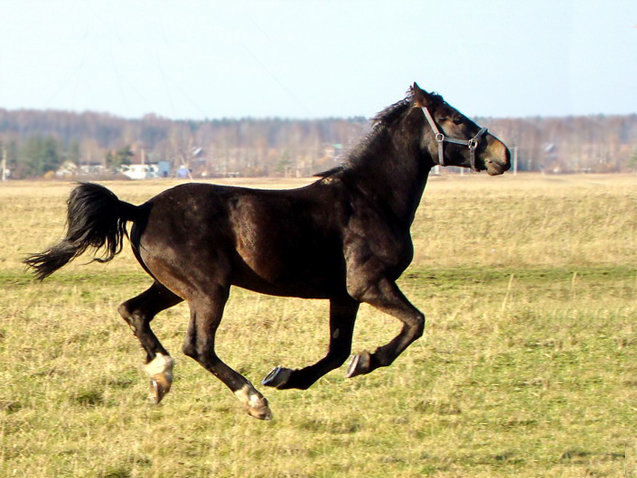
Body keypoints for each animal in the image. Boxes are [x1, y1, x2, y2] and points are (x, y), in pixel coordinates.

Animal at [24, 84, 510, 420]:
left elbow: (337, 351)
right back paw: (253, 401)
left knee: (134, 311)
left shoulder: (344, 295)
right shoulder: (368, 284)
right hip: (208, 290)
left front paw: (289, 376)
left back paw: (160, 378)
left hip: (173, 286)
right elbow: (415, 323)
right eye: (452, 118)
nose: (502, 154)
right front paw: (367, 361)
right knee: (197, 345)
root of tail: (139, 208)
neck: (371, 198)